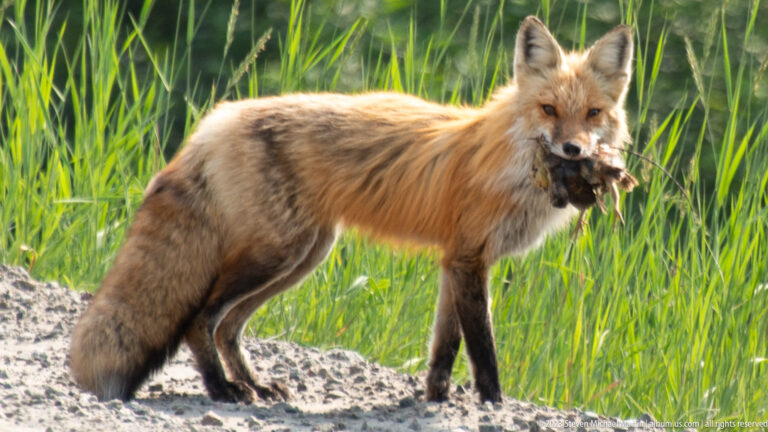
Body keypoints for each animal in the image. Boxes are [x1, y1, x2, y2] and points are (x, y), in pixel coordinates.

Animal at [70, 16, 633, 404]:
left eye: (592, 114)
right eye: (548, 110)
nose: (574, 151)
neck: (511, 162)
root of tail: (219, 118)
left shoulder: (456, 261)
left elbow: (443, 350)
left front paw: (433, 401)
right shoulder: (470, 259)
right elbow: (483, 350)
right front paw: (492, 404)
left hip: (304, 256)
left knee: (228, 328)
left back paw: (254, 385)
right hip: (277, 254)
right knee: (200, 320)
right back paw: (221, 389)